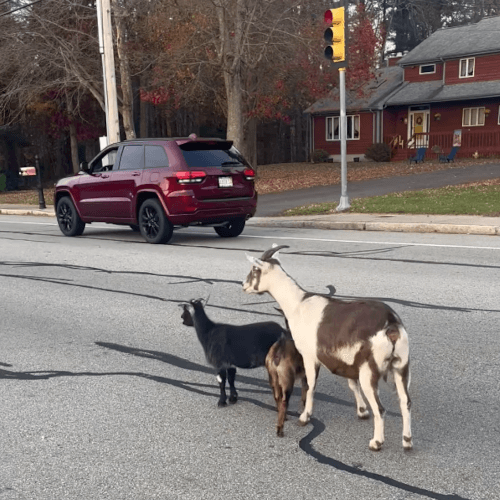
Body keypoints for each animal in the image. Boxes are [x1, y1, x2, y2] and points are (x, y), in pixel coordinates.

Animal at [241, 244, 410, 452]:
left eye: (255, 269)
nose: (243, 284)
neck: (298, 304)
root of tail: (391, 325)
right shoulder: (348, 361)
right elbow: (352, 384)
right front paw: (362, 411)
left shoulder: (309, 356)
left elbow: (310, 386)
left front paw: (304, 417)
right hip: (401, 365)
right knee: (405, 401)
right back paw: (407, 441)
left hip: (369, 371)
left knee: (380, 408)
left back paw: (376, 442)